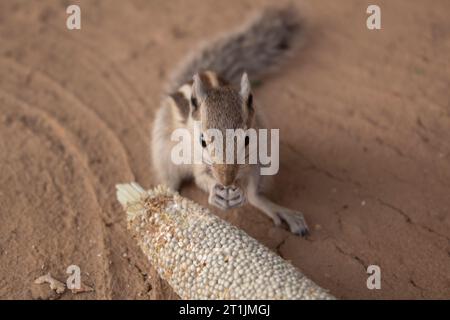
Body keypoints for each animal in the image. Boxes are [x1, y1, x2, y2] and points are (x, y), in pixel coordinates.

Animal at [151, 6, 310, 236]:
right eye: (202, 141)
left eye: (247, 139)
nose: (226, 181)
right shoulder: (198, 161)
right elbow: (201, 178)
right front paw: (216, 193)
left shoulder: (257, 154)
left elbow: (251, 189)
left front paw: (241, 194)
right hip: (163, 149)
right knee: (168, 178)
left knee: (256, 196)